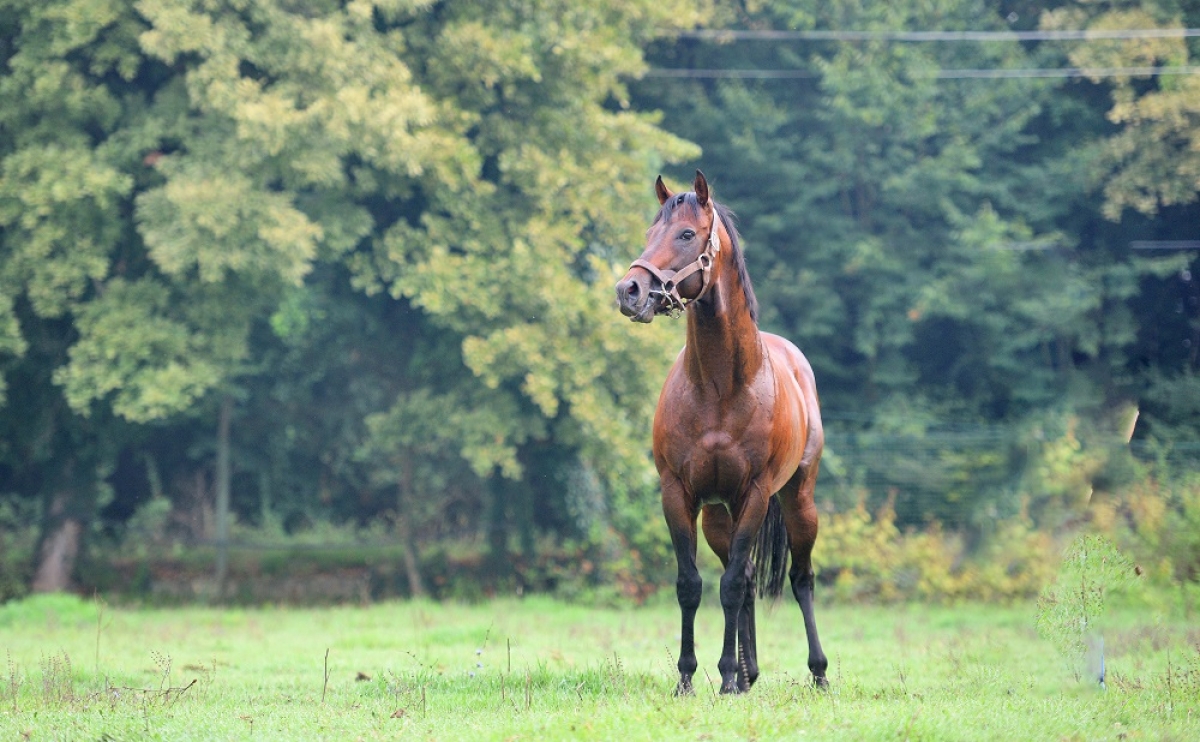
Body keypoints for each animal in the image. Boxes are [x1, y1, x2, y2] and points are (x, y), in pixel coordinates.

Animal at [614, 170, 830, 691]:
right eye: (650, 233)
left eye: (686, 235)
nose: (629, 290)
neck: (718, 385)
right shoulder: (679, 495)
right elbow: (691, 585)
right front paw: (688, 677)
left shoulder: (754, 494)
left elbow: (729, 585)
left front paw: (727, 678)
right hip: (717, 514)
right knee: (748, 575)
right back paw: (750, 674)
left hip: (797, 501)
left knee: (800, 578)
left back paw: (816, 672)